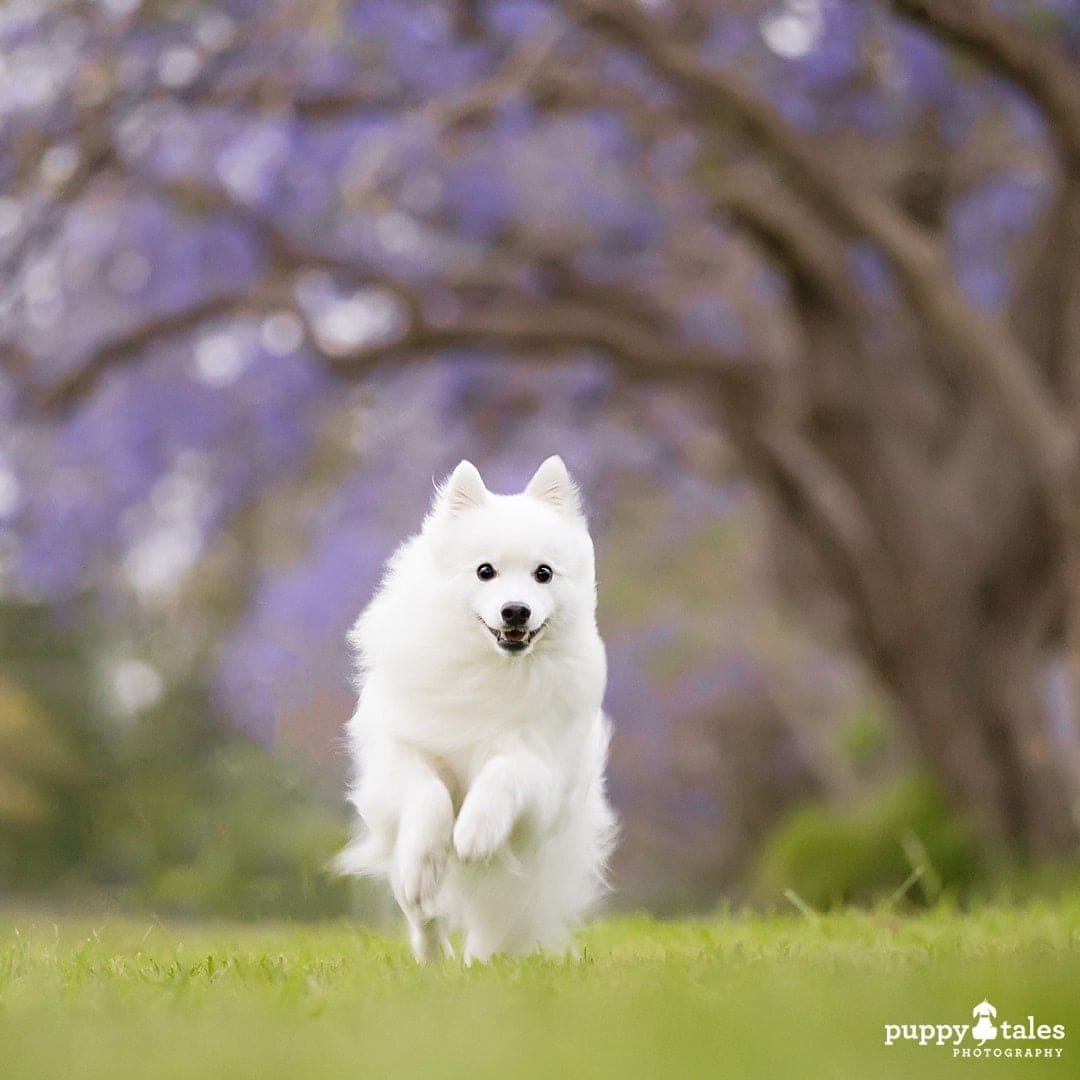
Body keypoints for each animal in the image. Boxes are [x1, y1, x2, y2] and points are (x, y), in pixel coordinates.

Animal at [336, 455, 617, 963]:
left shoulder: (540, 769)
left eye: (543, 573)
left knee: (496, 924)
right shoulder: (402, 753)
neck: (490, 669)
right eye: (485, 571)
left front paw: (473, 833)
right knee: (423, 912)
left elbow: (503, 773)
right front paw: (429, 853)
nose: (516, 611)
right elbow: (428, 795)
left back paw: (482, 960)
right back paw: (432, 947)